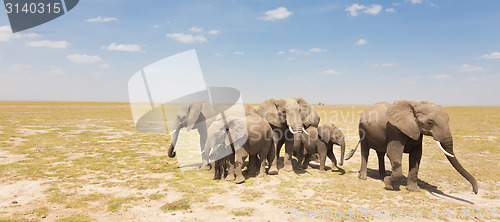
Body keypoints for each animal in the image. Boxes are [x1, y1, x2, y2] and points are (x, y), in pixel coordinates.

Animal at [346, 99, 478, 193]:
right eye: (430, 122)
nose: (475, 191)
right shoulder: (395, 130)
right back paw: (364, 177)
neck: (416, 106)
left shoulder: (417, 132)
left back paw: (382, 175)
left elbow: (416, 156)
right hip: (362, 129)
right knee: (366, 151)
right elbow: (393, 152)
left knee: (381, 153)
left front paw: (414, 190)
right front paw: (388, 184)